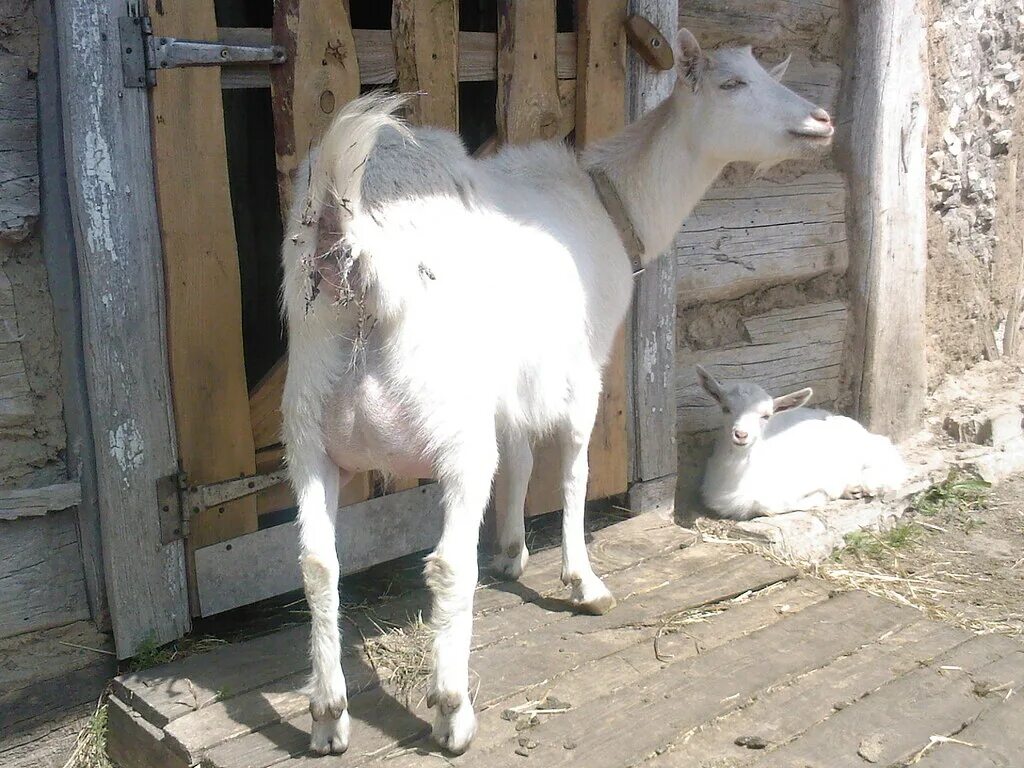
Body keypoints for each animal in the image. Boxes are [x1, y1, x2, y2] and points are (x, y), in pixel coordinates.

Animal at [280, 30, 831, 757]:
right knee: (447, 564)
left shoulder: (511, 378)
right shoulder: (583, 362)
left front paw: (513, 552)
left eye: (769, 72)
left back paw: (328, 716)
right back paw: (452, 710)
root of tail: (359, 263)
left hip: (308, 427)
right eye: (732, 83)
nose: (821, 121)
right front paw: (582, 580)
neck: (609, 204)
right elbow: (573, 467)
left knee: (318, 563)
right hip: (450, 431)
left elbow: (520, 458)